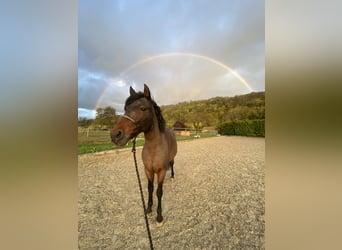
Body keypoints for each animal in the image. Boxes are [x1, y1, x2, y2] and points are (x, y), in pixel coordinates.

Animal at [111, 83, 178, 227]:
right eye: (126, 108)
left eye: (143, 108)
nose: (115, 135)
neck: (154, 148)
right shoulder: (148, 170)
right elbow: (150, 188)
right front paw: (148, 209)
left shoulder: (161, 171)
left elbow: (159, 192)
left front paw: (159, 217)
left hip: (172, 158)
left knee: (172, 165)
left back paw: (172, 176)